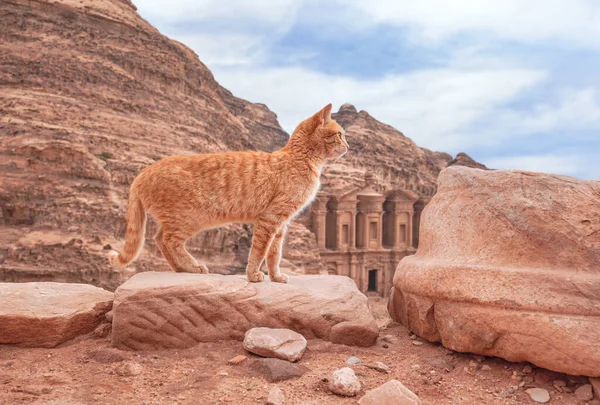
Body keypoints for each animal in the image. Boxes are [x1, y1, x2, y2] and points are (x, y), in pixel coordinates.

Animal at [108, 102, 346, 282]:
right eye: (339, 135)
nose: (348, 146)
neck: (301, 158)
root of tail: (142, 172)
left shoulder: (281, 224)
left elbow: (274, 254)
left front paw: (276, 277)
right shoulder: (270, 219)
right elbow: (259, 250)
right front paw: (253, 275)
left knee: (159, 239)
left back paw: (183, 269)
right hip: (190, 218)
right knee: (168, 240)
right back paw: (192, 267)